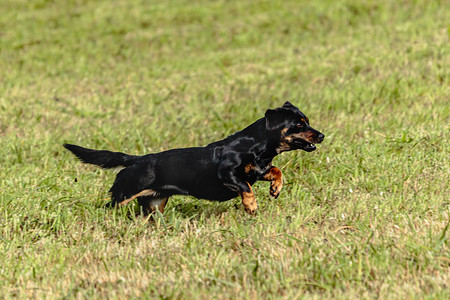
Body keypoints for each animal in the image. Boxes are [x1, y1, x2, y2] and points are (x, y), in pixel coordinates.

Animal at [63, 102, 324, 214]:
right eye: (298, 125)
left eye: (307, 121)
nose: (321, 135)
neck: (257, 146)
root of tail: (136, 160)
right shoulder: (227, 173)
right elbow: (246, 187)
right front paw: (251, 206)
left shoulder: (259, 170)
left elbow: (277, 171)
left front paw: (275, 189)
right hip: (125, 194)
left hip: (155, 203)